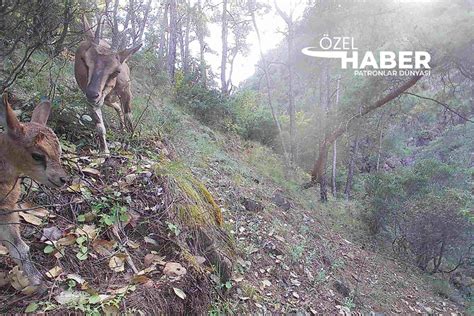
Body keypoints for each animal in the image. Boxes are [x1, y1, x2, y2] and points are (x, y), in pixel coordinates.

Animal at [0, 95, 67, 290]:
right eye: (37, 155)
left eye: (60, 151)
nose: (63, 179)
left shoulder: (7, 211)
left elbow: (19, 248)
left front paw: (39, 283)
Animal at [74, 16, 141, 154]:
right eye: (84, 61)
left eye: (117, 71)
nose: (93, 94)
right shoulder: (91, 97)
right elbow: (99, 126)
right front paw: (104, 151)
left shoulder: (126, 92)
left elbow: (129, 116)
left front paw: (128, 142)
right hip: (106, 100)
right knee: (117, 107)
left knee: (120, 109)